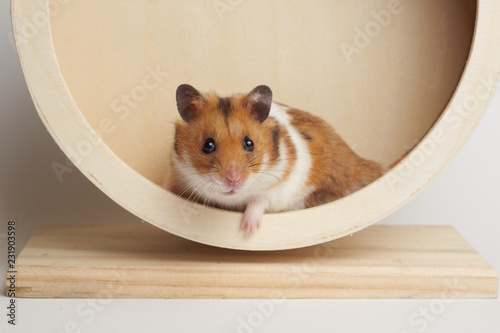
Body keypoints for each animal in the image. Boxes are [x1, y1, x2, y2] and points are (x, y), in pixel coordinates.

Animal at [166, 84, 384, 235]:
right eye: (208, 145)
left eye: (249, 143)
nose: (233, 180)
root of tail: (358, 162)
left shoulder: (278, 187)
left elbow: (258, 201)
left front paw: (247, 231)